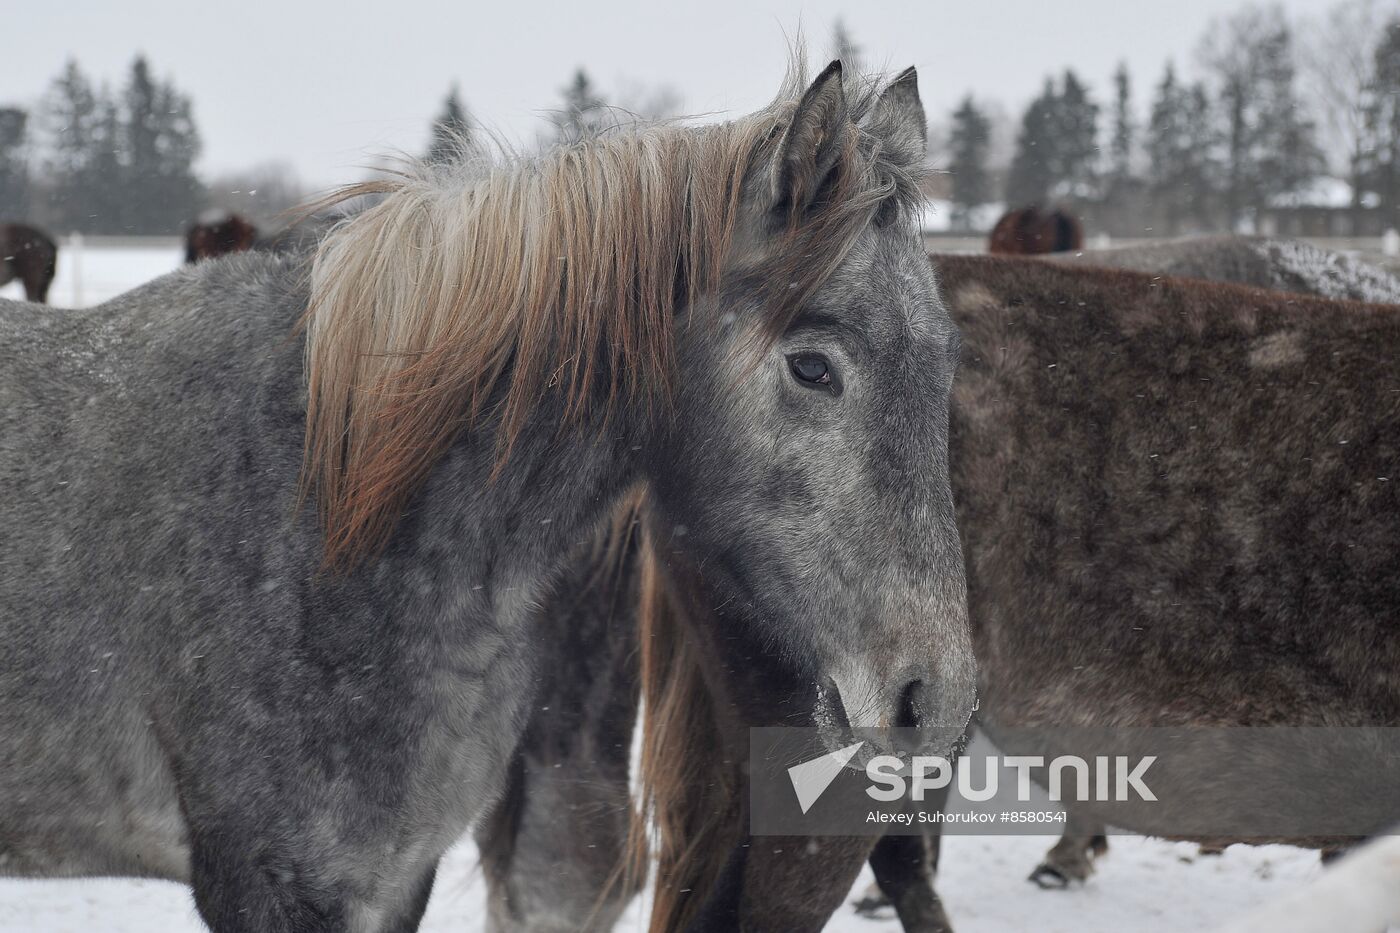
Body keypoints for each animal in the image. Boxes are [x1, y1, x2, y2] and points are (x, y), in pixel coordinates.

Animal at [0, 61, 980, 924]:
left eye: (946, 359)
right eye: (813, 367)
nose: (935, 703)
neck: (329, 514)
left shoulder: (397, 875)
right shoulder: (267, 883)